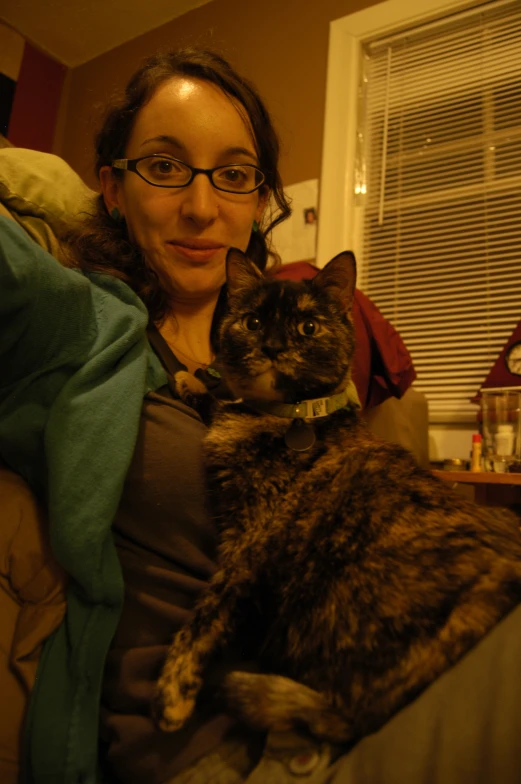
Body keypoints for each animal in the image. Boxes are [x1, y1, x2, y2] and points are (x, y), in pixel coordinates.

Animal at [153, 248, 520, 744]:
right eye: (252, 322)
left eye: (308, 327)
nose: (272, 346)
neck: (289, 417)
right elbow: (220, 401)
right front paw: (192, 380)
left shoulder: (248, 549)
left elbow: (206, 618)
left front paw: (172, 695)